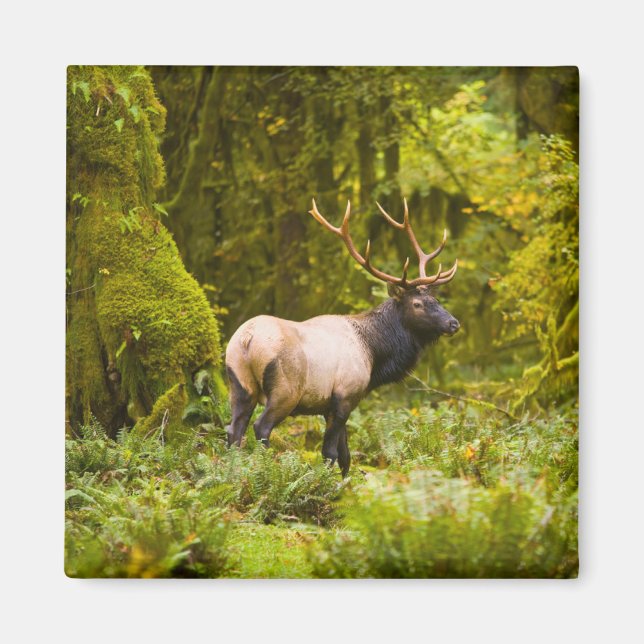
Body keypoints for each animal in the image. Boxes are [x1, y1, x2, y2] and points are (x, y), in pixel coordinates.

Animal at [225, 198, 460, 476]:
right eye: (417, 304)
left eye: (436, 300)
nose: (453, 323)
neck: (374, 355)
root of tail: (247, 339)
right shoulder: (345, 395)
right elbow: (330, 453)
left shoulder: (335, 404)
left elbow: (346, 455)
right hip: (285, 388)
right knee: (261, 427)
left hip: (239, 382)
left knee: (233, 431)